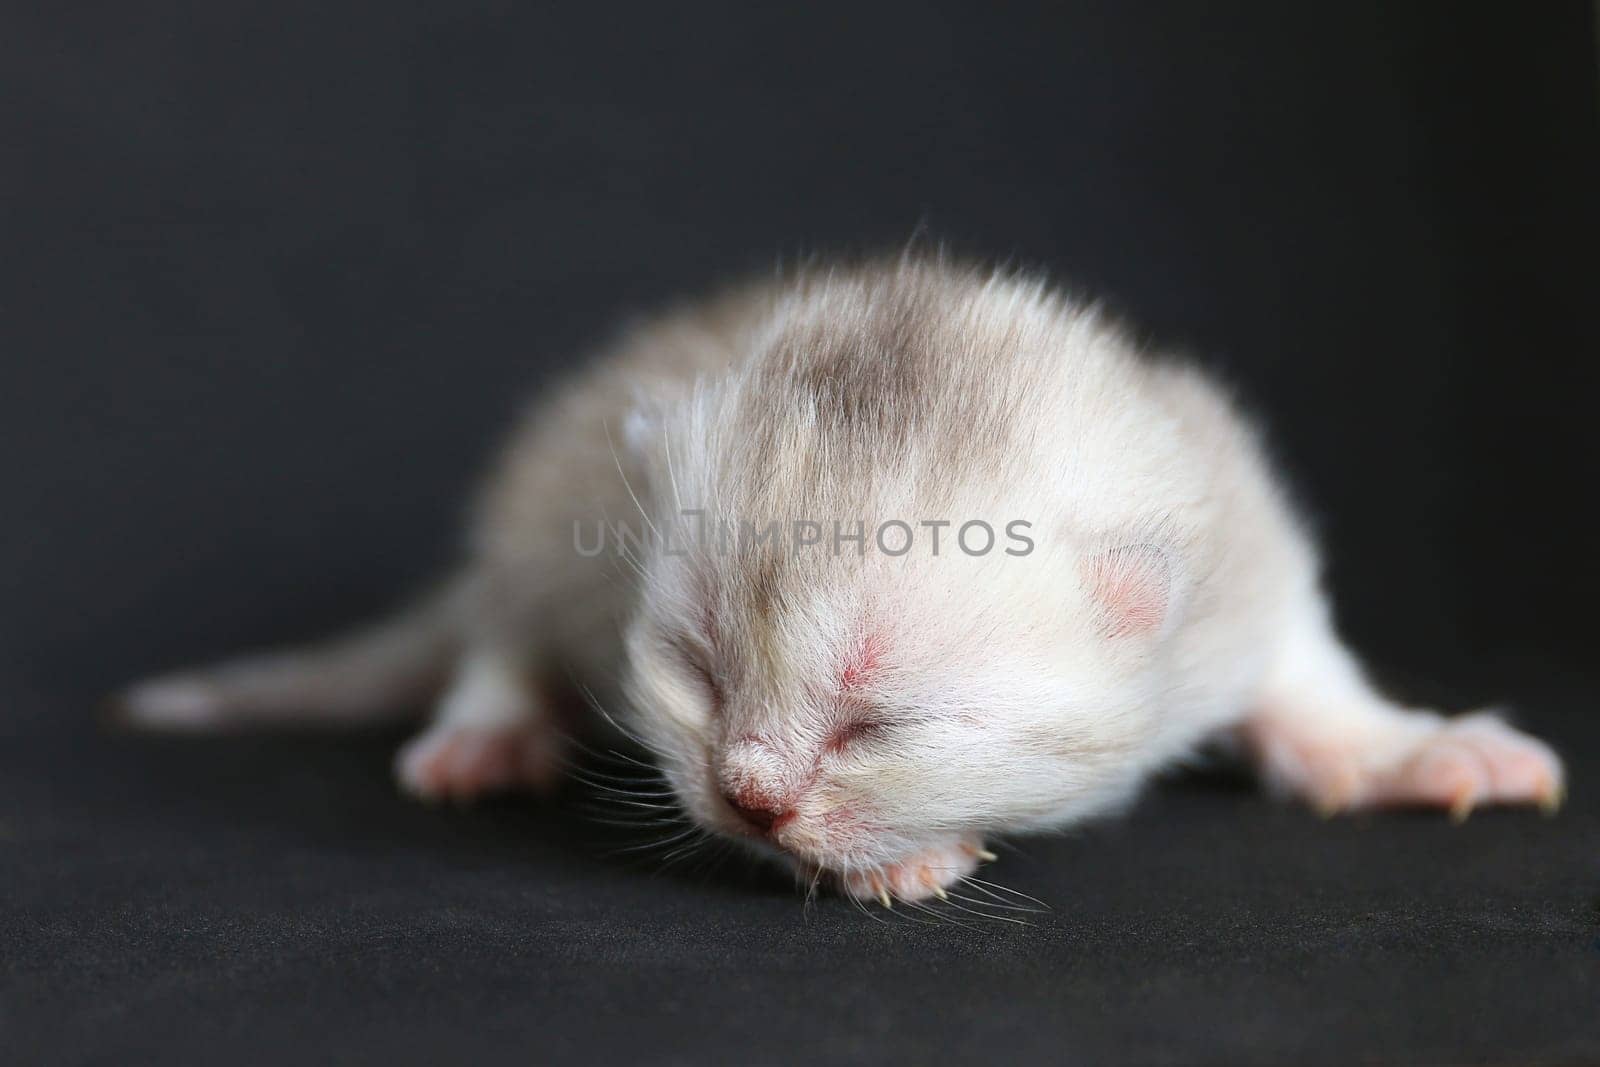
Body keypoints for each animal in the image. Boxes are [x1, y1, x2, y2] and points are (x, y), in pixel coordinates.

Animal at [121, 255, 1561, 902]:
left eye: (885, 720)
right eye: (694, 670)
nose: (749, 794)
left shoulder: (1243, 554)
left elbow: (1309, 676)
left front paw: (1402, 749)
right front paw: (903, 861)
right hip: (540, 508)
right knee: (498, 626)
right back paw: (490, 730)